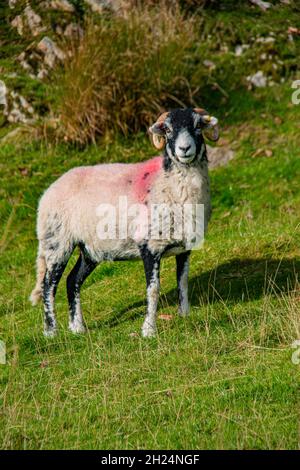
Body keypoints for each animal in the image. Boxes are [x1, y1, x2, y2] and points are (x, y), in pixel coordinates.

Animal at [29, 108, 218, 336]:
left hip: (89, 250)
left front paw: (185, 316)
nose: (184, 149)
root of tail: (48, 191)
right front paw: (149, 330)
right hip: (57, 243)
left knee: (72, 280)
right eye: (167, 130)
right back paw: (51, 332)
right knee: (48, 285)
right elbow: (153, 290)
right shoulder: (150, 247)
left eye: (198, 126)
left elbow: (183, 282)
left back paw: (78, 328)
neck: (166, 183)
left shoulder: (184, 248)